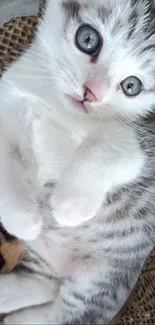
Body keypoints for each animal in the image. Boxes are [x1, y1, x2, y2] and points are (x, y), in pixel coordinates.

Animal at [0, 0, 155, 322]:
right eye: (88, 39)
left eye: (131, 86)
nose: (91, 93)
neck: (54, 105)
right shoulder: (6, 106)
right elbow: (4, 162)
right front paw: (21, 216)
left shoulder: (139, 144)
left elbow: (107, 142)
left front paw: (70, 203)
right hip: (41, 252)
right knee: (44, 284)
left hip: (97, 278)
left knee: (62, 312)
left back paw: (18, 317)